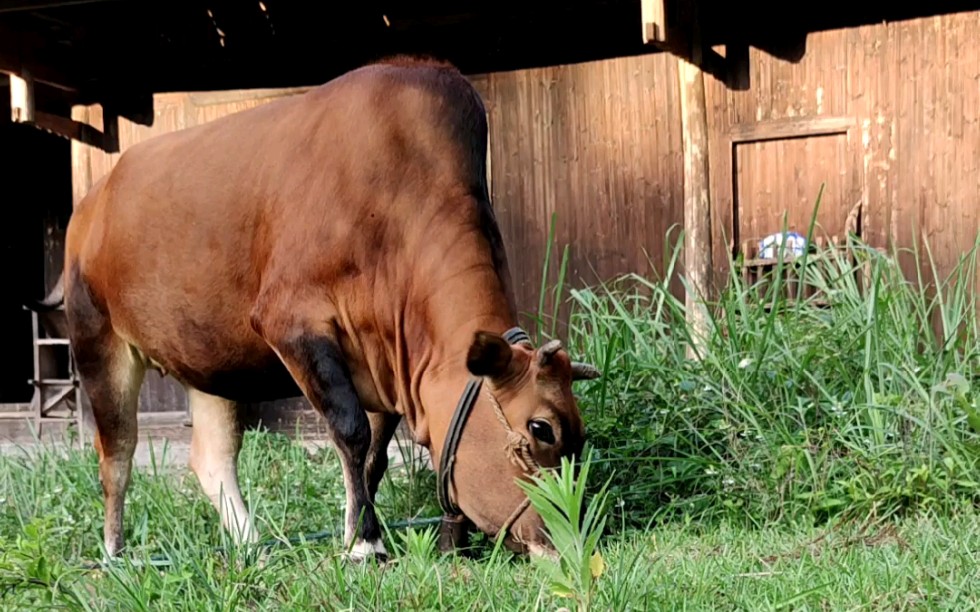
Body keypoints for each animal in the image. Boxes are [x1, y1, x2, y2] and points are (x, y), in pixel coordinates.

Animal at [61, 57, 600, 564]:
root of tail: (91, 202)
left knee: (211, 458)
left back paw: (251, 549)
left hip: (211, 361)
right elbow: (350, 430)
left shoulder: (385, 360)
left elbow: (375, 456)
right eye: (541, 429)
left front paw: (354, 531)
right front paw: (366, 544)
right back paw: (117, 554)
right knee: (116, 454)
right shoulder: (291, 324)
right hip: (96, 341)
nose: (570, 541)